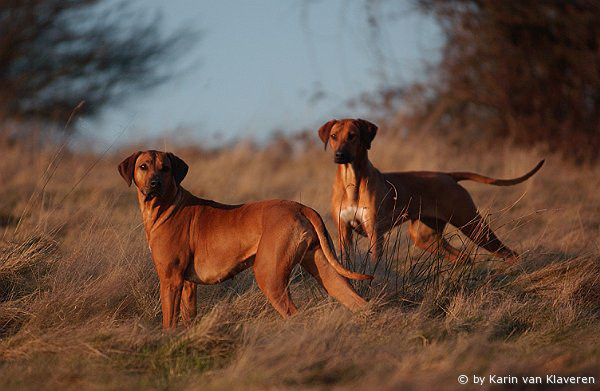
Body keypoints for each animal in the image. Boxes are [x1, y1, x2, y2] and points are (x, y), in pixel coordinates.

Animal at [117, 150, 370, 330]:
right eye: (143, 167)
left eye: (166, 168)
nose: (155, 183)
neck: (166, 206)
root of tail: (300, 207)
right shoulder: (188, 285)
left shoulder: (170, 280)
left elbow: (168, 323)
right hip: (323, 267)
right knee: (357, 301)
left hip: (269, 275)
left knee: (294, 314)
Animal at [318, 118, 544, 264]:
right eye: (334, 136)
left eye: (353, 136)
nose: (339, 155)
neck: (351, 181)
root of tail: (449, 175)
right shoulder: (343, 230)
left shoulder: (374, 230)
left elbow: (375, 261)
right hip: (424, 236)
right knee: (463, 257)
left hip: (473, 225)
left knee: (509, 253)